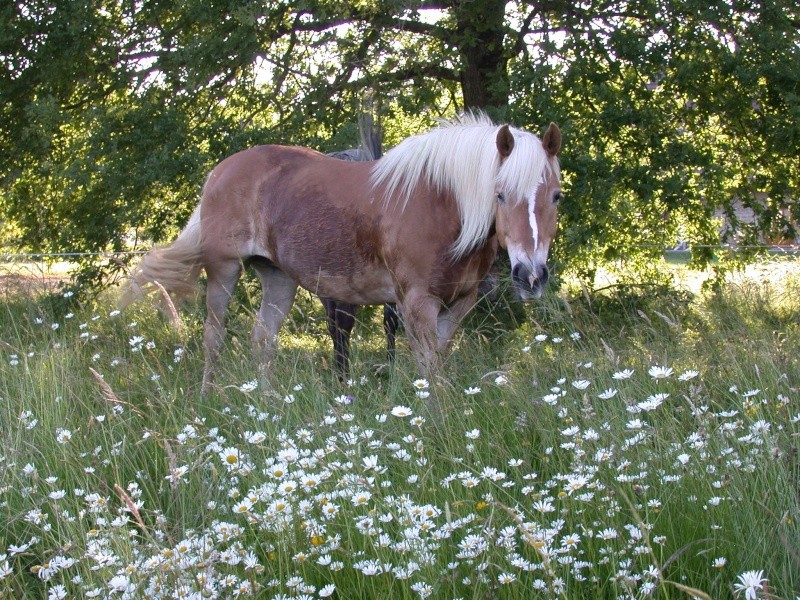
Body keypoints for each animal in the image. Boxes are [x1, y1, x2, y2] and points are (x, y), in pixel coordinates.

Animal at [125, 114, 564, 396]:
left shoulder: (458, 303)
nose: (530, 276)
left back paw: (265, 404)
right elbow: (426, 368)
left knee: (262, 338)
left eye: (556, 196)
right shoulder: (417, 303)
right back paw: (208, 399)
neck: (442, 205)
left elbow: (438, 364)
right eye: (500, 195)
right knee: (213, 338)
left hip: (278, 278)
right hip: (224, 270)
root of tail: (219, 172)